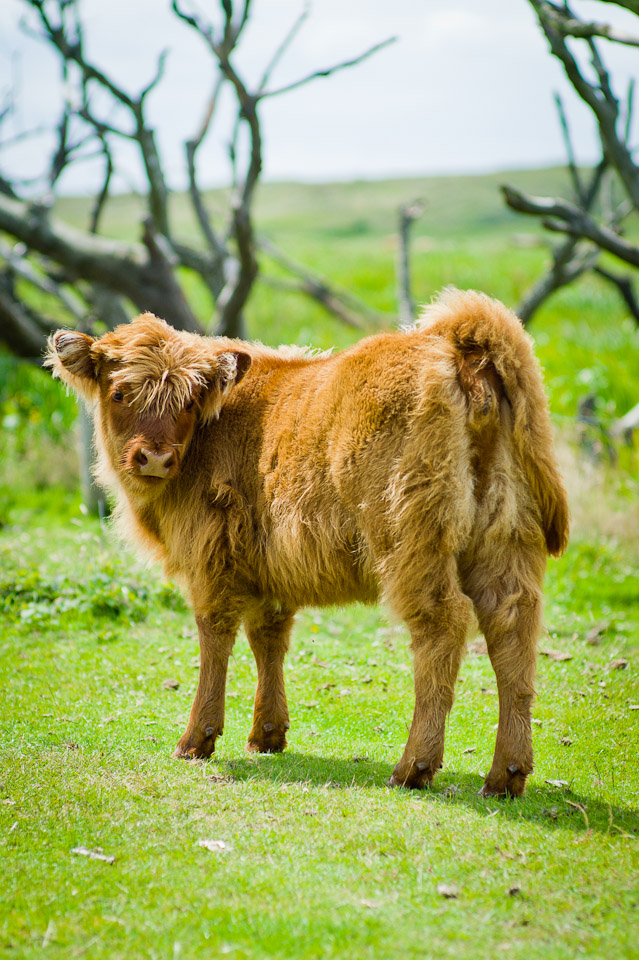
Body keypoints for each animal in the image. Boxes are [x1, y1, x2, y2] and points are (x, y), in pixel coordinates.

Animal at [48, 288, 568, 800]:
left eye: (191, 399)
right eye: (119, 392)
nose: (155, 457)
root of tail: (452, 347)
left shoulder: (211, 559)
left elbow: (215, 637)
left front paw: (197, 740)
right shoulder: (267, 569)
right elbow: (268, 639)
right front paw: (267, 734)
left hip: (411, 541)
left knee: (443, 625)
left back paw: (413, 767)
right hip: (506, 538)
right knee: (512, 628)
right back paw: (505, 776)